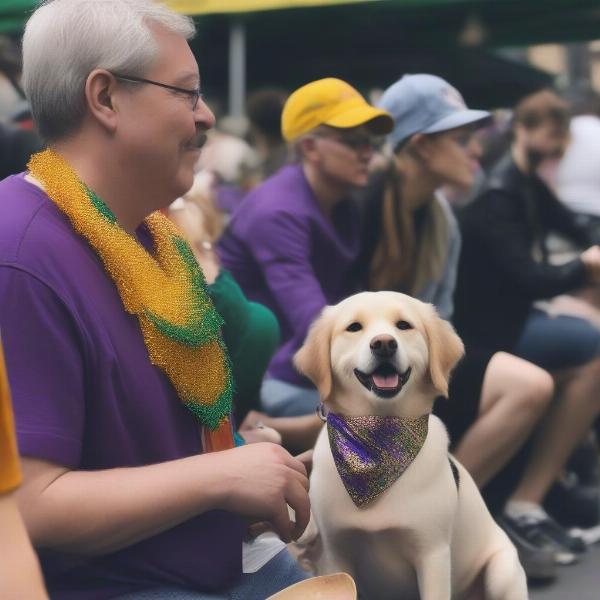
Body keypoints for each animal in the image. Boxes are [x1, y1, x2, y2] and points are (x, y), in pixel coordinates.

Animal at [294, 292, 524, 600]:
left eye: (403, 325)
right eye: (354, 327)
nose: (384, 343)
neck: (376, 443)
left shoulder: (433, 555)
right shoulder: (335, 553)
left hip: (502, 571)